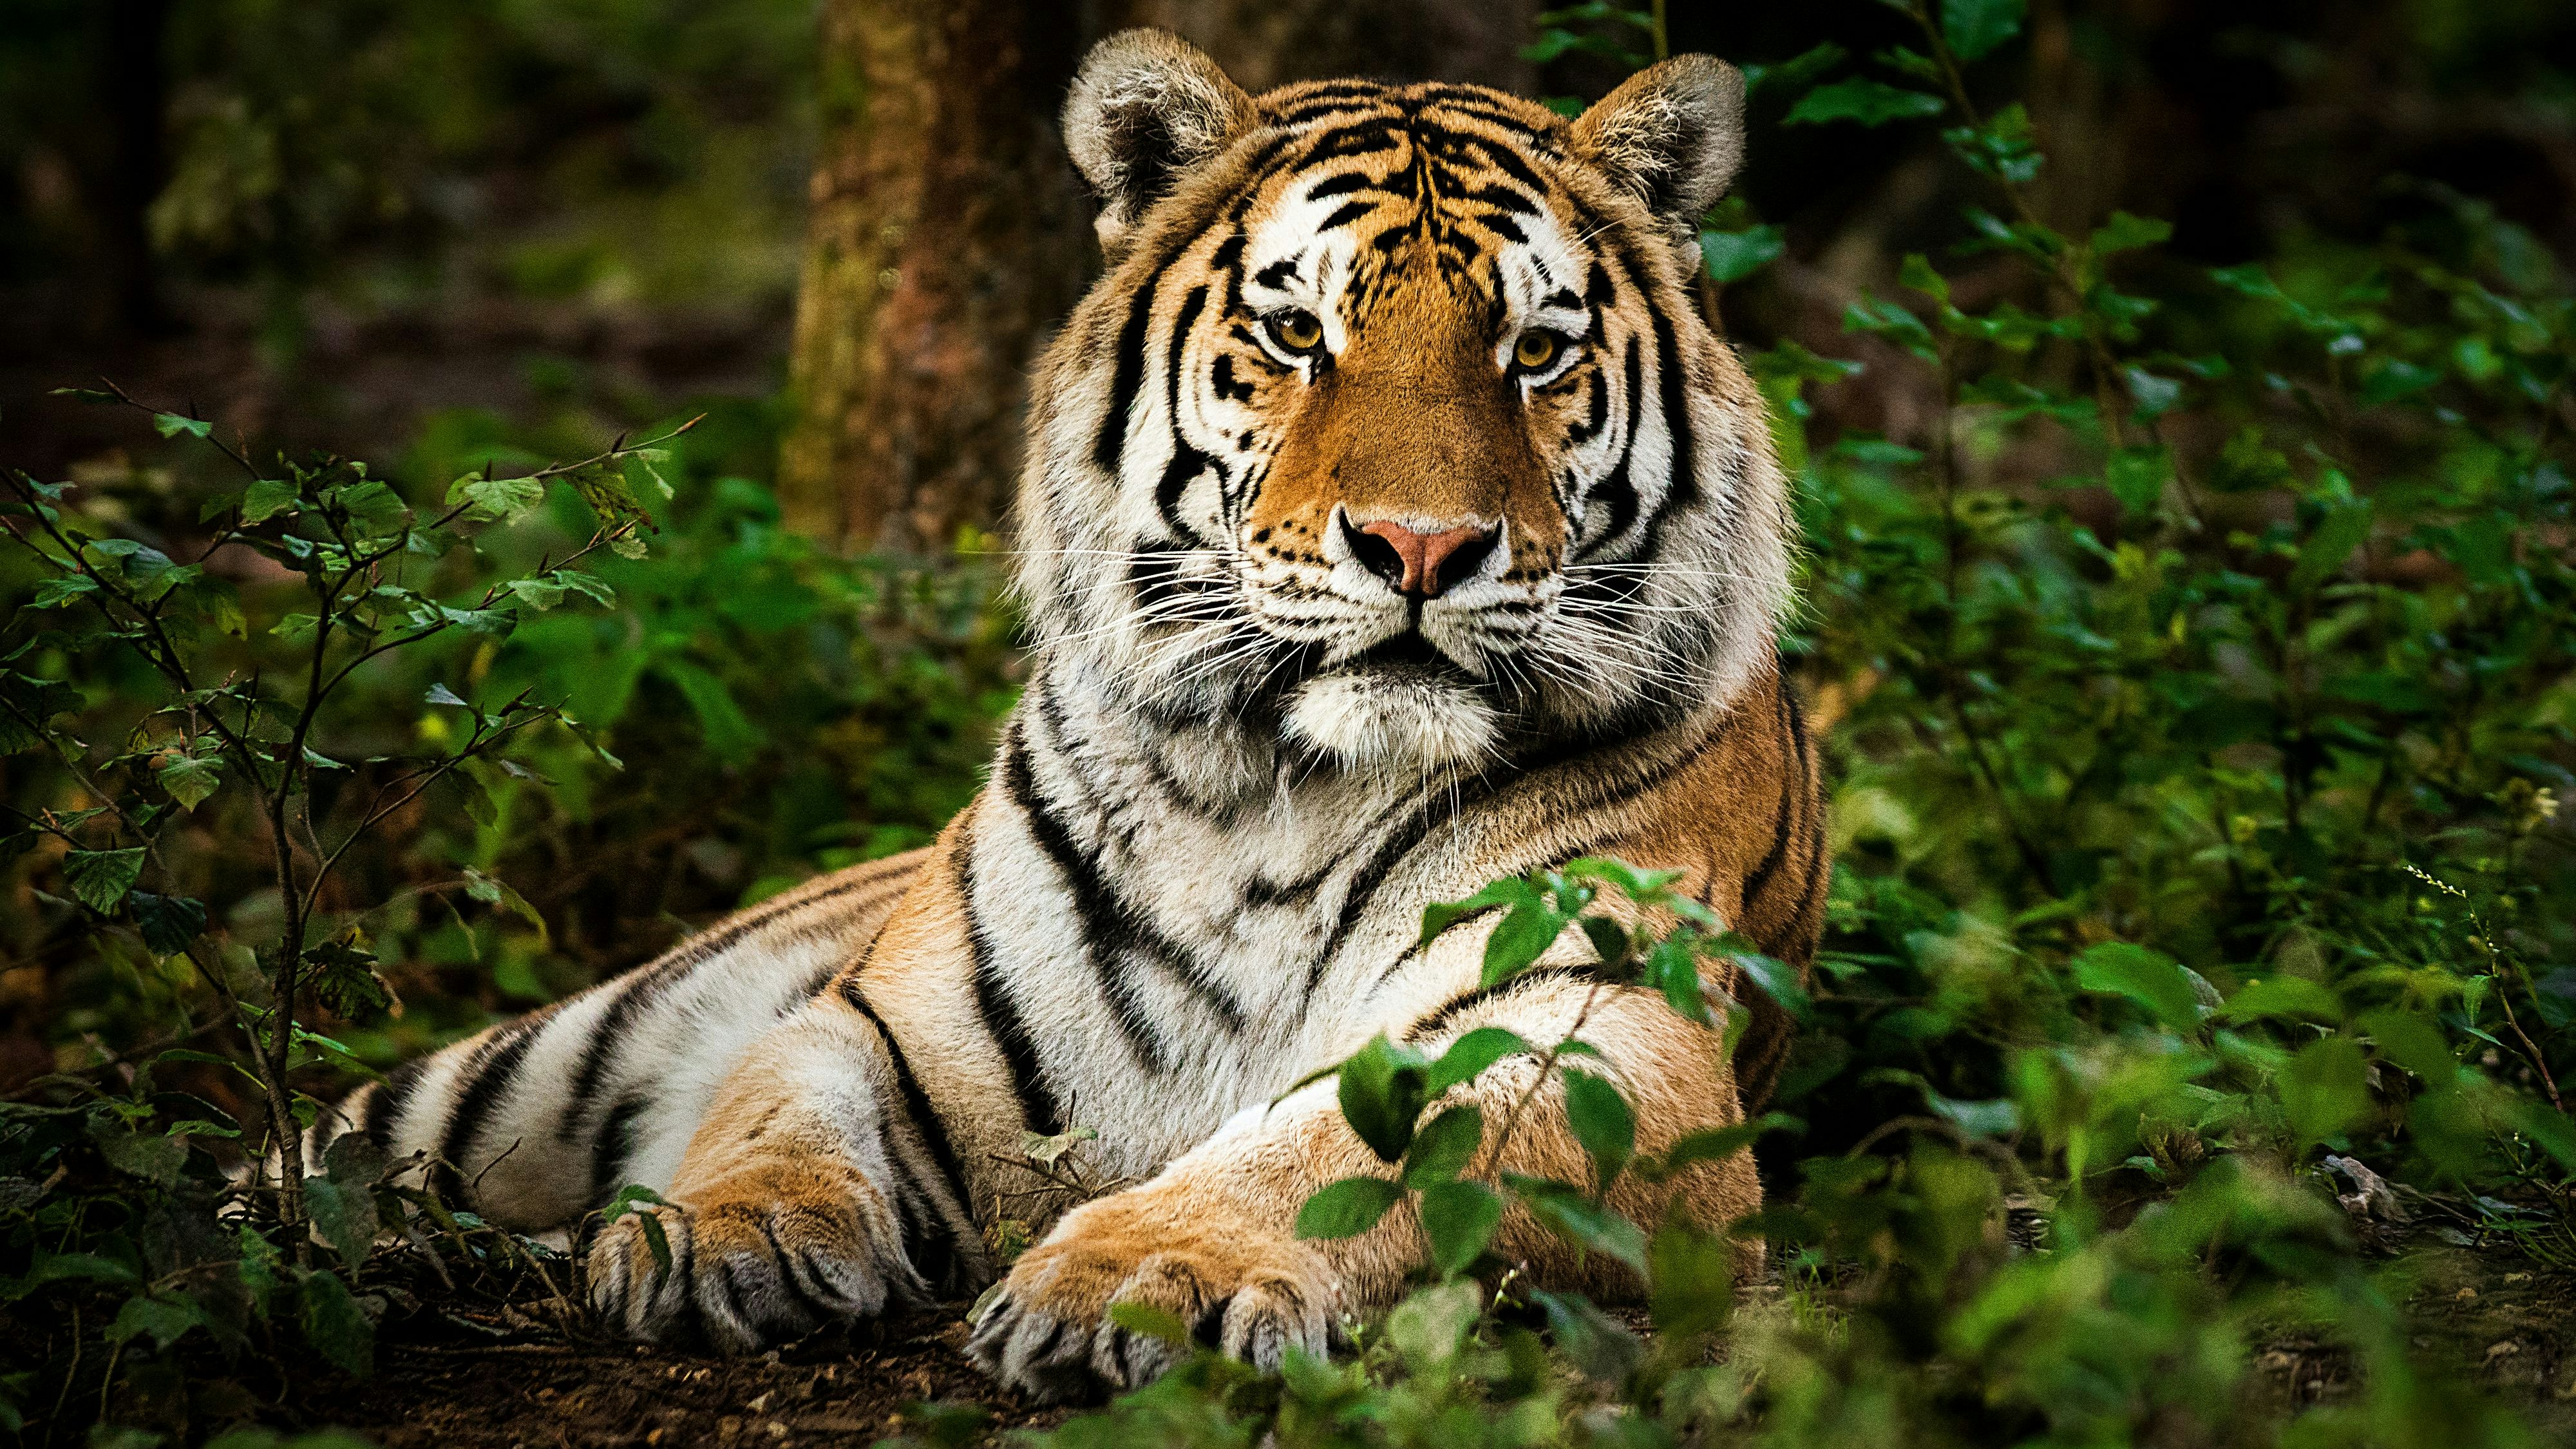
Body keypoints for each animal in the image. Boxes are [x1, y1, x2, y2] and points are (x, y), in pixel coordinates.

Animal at [305, 30, 1827, 1403]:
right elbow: (773, 1100)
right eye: (1296, 334)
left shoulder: (1600, 1032)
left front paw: (1145, 1280)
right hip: (533, 1069)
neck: (1280, 790)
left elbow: (1350, 1152)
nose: (1420, 546)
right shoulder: (892, 1018)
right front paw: (712, 1234)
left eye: (1536, 351)